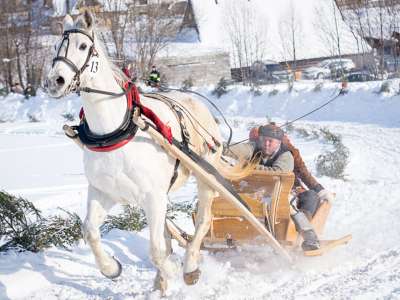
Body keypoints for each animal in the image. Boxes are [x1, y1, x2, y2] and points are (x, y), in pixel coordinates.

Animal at [45, 11, 248, 292]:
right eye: (56, 46)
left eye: (83, 46)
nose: (55, 81)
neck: (115, 131)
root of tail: (197, 103)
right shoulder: (103, 192)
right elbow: (90, 232)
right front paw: (111, 268)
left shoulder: (153, 197)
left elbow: (156, 249)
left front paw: (171, 269)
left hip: (205, 176)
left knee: (203, 221)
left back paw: (189, 267)